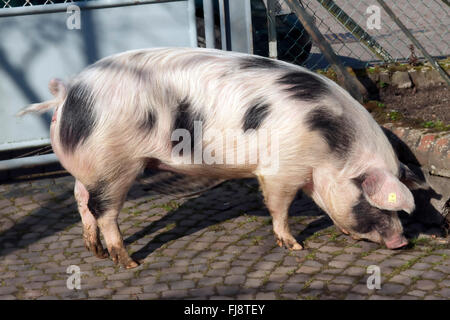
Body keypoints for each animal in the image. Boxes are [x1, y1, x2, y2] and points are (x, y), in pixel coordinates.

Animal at [19, 47, 424, 268]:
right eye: (376, 201)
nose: (403, 242)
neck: (330, 147)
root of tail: (68, 93)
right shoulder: (280, 171)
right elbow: (279, 207)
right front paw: (294, 246)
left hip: (90, 166)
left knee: (80, 198)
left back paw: (96, 253)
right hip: (115, 165)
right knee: (104, 211)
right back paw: (128, 262)